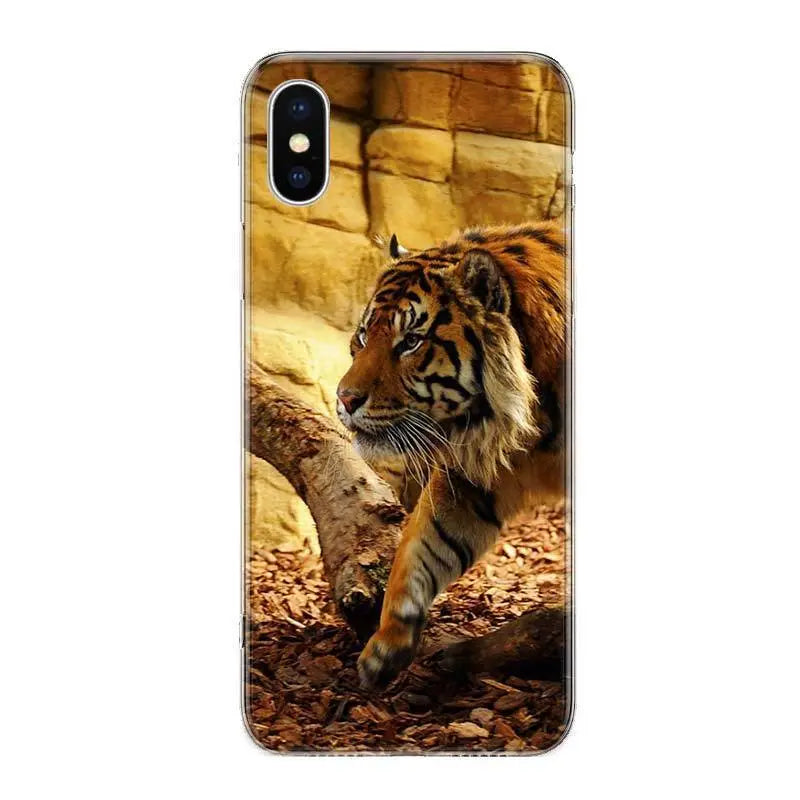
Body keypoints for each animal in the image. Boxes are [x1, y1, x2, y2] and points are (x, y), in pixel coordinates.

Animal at [336, 222, 569, 688]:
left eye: (410, 341)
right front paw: (385, 649)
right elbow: (421, 544)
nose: (344, 398)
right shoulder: (473, 477)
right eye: (365, 334)